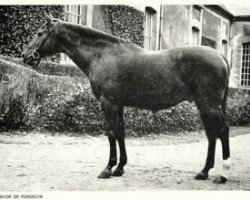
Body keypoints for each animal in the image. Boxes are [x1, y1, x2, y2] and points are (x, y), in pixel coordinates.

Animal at [23, 13, 230, 184]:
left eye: (39, 33)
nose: (26, 55)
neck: (102, 54)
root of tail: (220, 55)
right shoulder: (119, 104)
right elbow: (121, 133)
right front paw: (120, 168)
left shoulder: (108, 102)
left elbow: (111, 133)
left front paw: (107, 168)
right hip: (203, 105)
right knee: (211, 134)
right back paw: (204, 172)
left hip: (209, 105)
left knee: (222, 131)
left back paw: (222, 175)